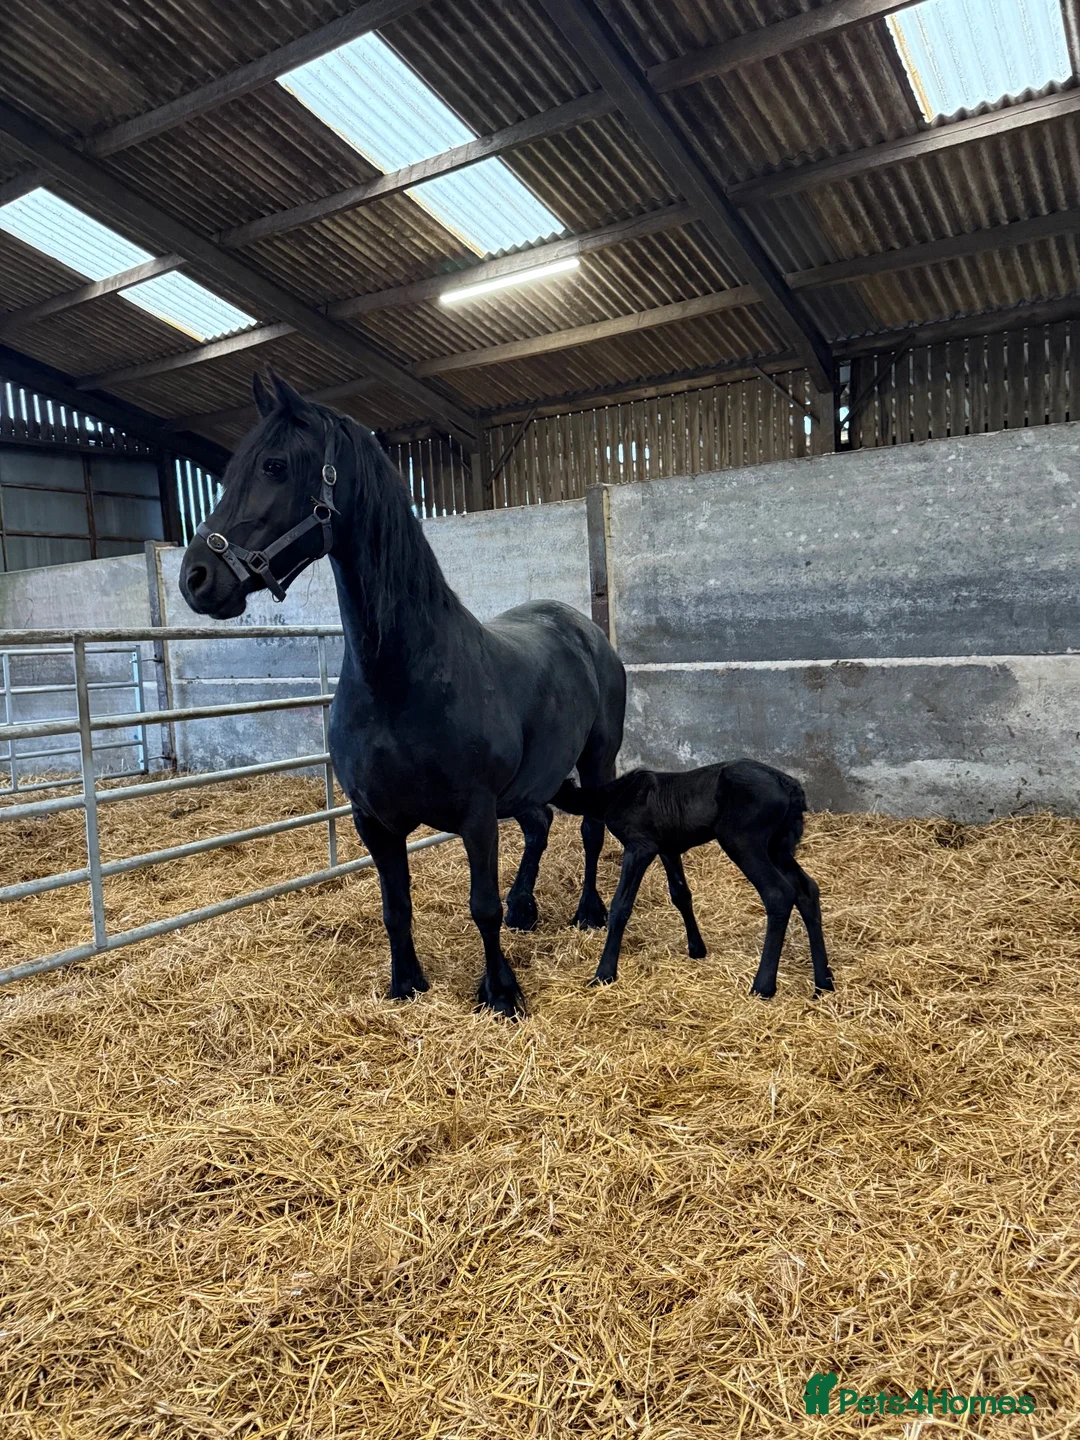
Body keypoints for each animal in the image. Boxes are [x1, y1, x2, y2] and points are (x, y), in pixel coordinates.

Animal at [179, 374, 626, 1017]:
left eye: (274, 465)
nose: (196, 578)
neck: (399, 682)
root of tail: (581, 628)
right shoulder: (374, 821)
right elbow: (396, 907)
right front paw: (406, 982)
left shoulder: (477, 815)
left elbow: (481, 907)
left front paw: (502, 992)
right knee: (539, 823)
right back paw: (526, 907)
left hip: (597, 757)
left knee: (589, 831)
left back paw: (588, 912)